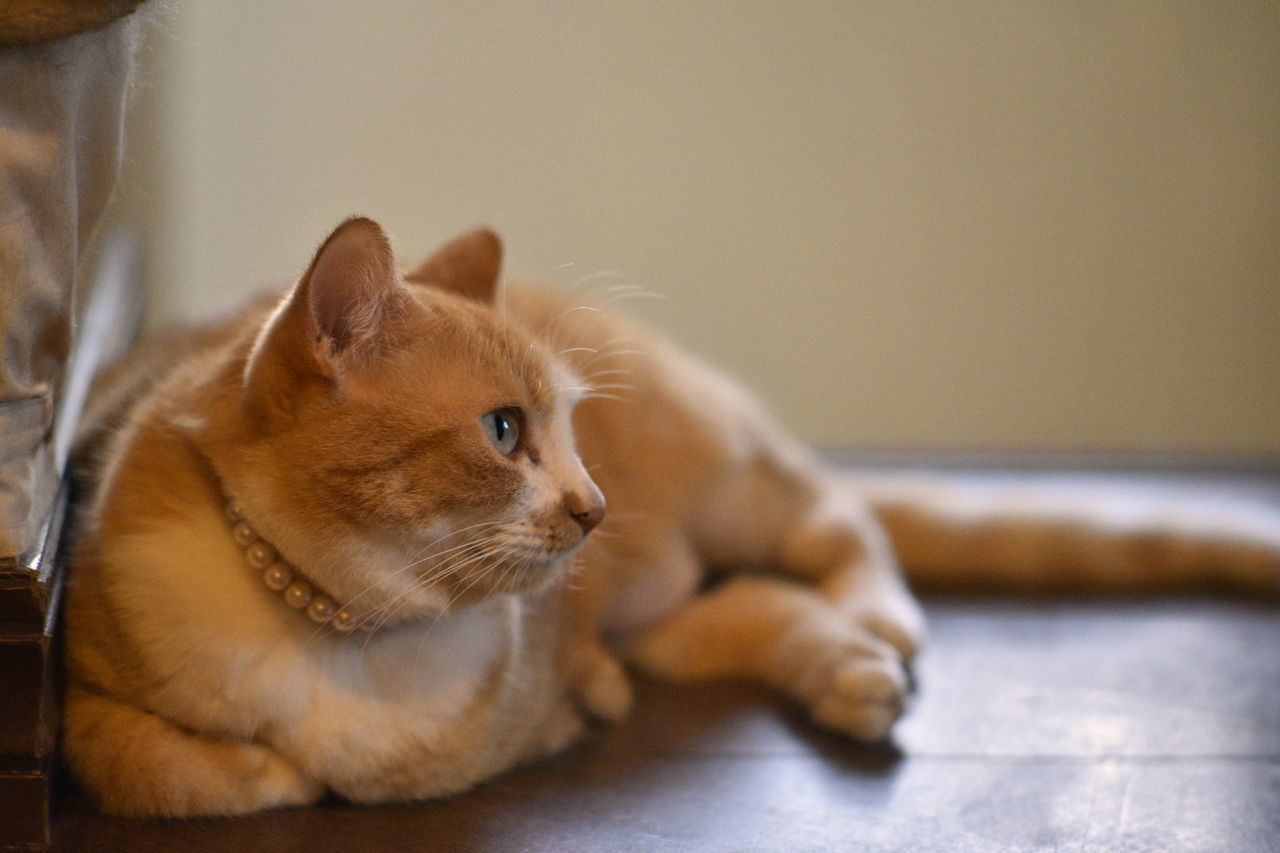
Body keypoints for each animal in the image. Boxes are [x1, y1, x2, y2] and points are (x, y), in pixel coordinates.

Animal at [67, 216, 1280, 814]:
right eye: (503, 431)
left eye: (568, 425)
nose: (596, 507)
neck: (341, 629)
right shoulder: (80, 693)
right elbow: (141, 760)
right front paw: (270, 771)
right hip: (669, 614)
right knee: (756, 609)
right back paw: (851, 678)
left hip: (733, 481)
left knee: (840, 524)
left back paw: (876, 627)